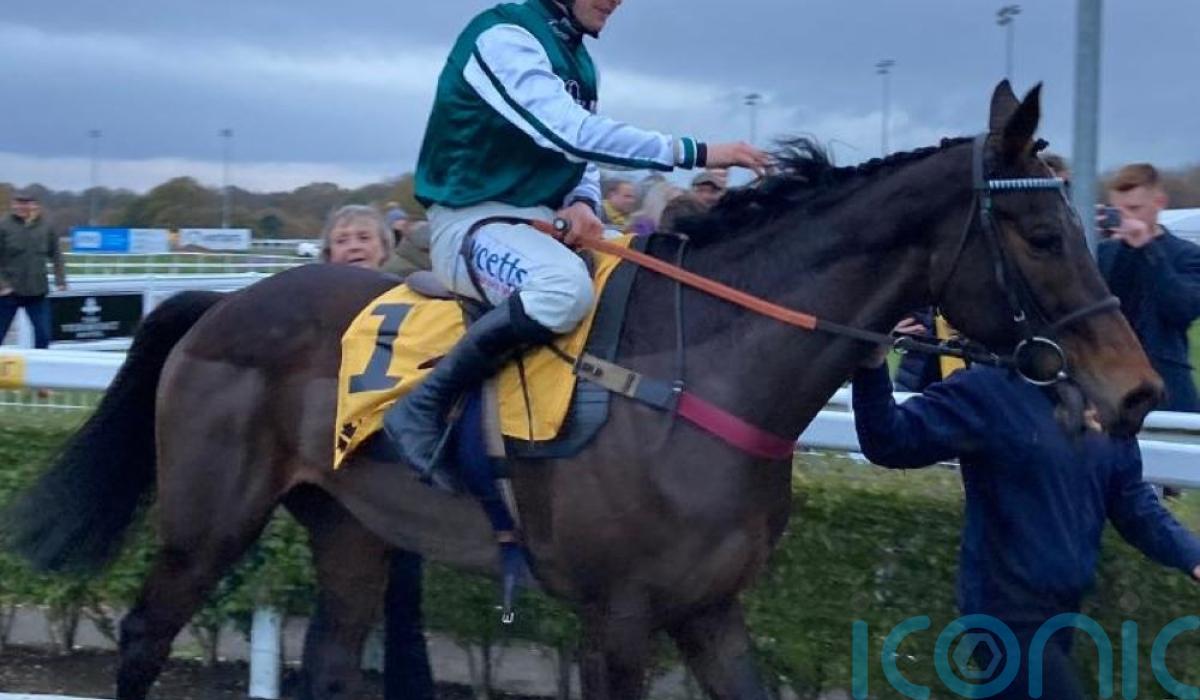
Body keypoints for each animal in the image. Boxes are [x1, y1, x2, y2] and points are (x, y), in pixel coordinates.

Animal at [3, 82, 1162, 700]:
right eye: (1041, 232)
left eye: (1078, 222)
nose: (1138, 389)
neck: (706, 369)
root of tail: (220, 303)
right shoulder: (619, 616)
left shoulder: (711, 608)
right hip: (209, 517)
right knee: (146, 636)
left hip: (351, 524)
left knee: (332, 658)